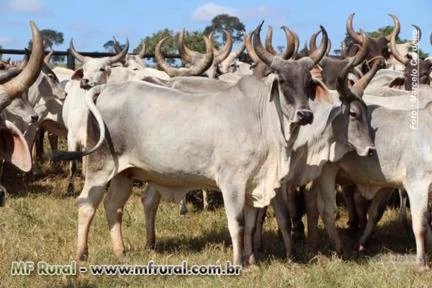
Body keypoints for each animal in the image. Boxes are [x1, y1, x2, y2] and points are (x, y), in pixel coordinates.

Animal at [49, 22, 328, 266]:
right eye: (282, 81)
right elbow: (236, 224)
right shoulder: (232, 182)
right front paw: (238, 263)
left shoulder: (255, 184)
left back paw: (120, 251)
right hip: (100, 166)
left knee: (113, 205)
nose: (305, 114)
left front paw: (251, 261)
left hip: (124, 173)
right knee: (87, 203)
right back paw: (82, 253)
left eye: (308, 83)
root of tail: (106, 90)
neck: (260, 117)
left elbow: (250, 225)